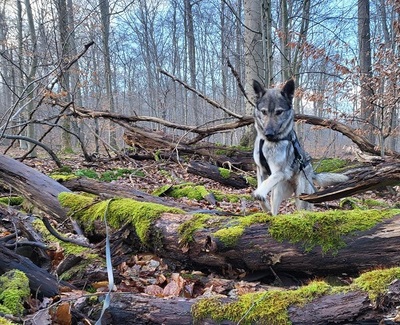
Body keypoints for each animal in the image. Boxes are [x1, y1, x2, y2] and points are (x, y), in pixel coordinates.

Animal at [252, 78, 348, 215]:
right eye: (264, 112)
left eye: (279, 112)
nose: (268, 133)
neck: (268, 142)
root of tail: (311, 173)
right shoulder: (261, 170)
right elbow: (261, 190)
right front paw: (265, 207)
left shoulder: (279, 172)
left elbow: (260, 190)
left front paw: (259, 195)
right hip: (278, 190)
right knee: (275, 209)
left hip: (299, 195)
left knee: (303, 211)